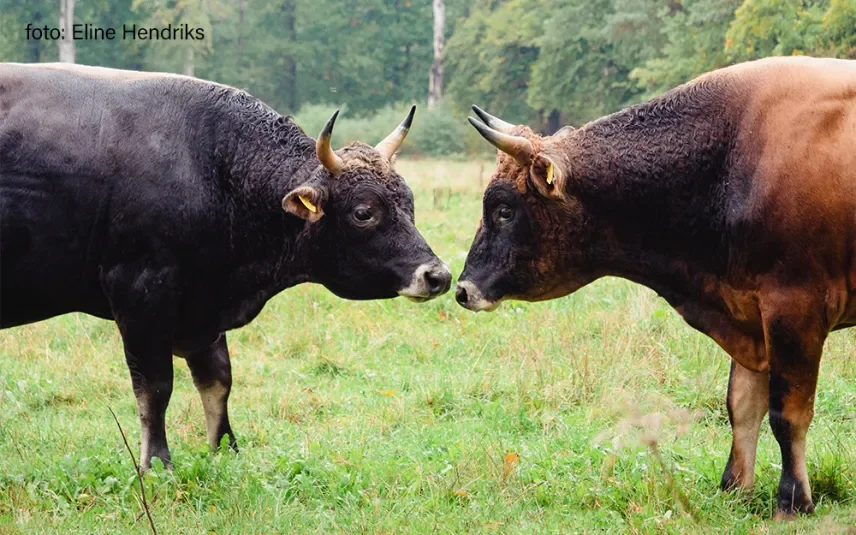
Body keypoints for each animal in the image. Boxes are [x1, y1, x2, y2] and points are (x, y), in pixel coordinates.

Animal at [458, 56, 856, 516]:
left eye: (504, 210)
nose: (463, 289)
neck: (732, 154)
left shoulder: (793, 308)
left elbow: (787, 414)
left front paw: (793, 500)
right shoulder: (750, 313)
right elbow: (741, 405)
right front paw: (734, 487)